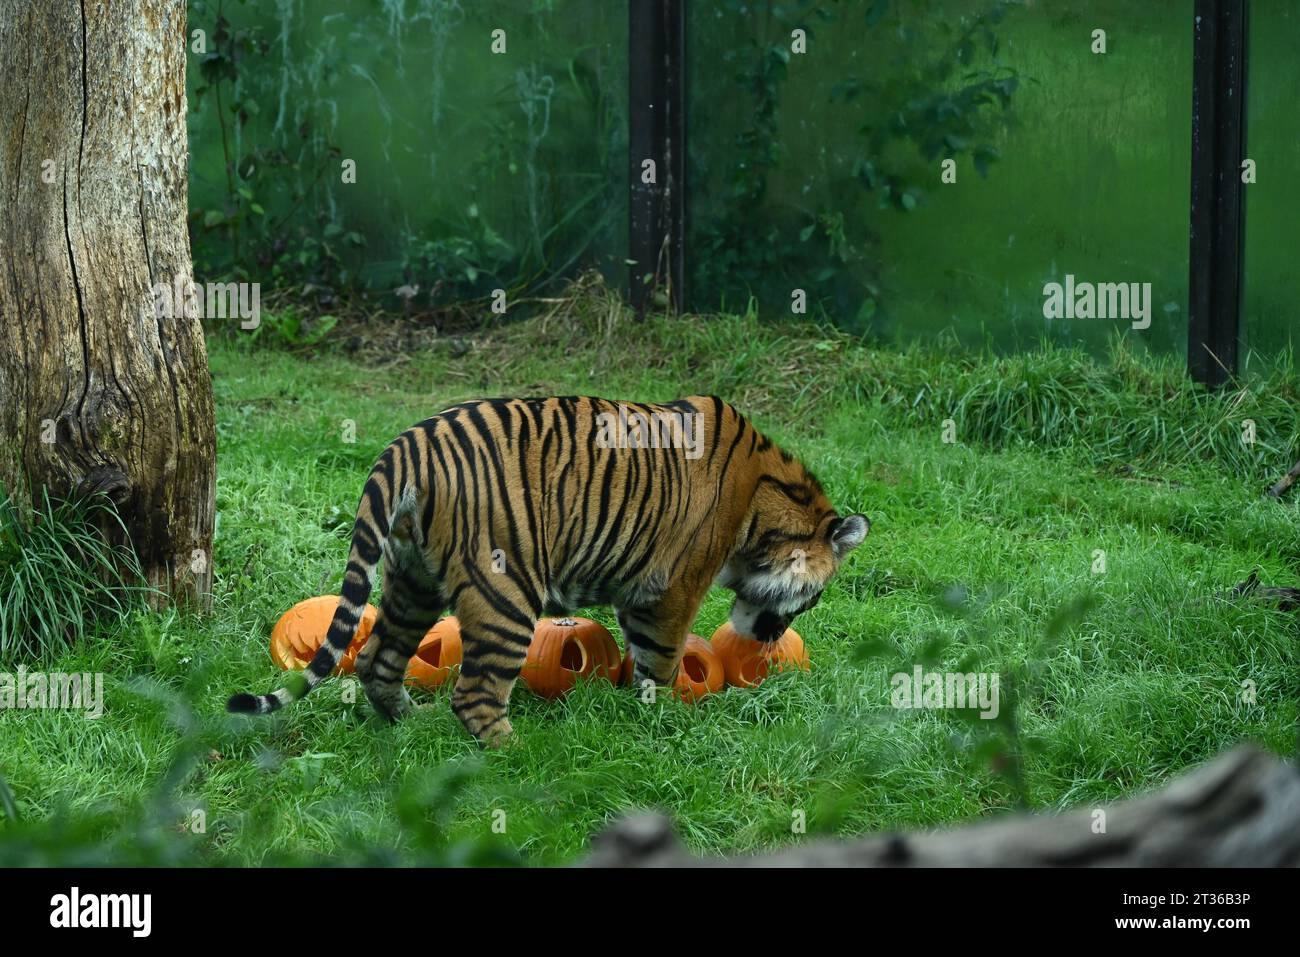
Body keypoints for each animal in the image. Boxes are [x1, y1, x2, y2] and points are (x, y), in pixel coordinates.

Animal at [228, 395, 868, 746]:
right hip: (506, 590)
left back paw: (411, 724)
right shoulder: (675, 587)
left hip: (413, 581)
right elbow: (662, 660)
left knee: (377, 659)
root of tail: (409, 442)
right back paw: (518, 755)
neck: (767, 507)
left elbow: (638, 653)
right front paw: (665, 722)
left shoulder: (637, 587)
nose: (772, 638)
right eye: (813, 600)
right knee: (477, 694)